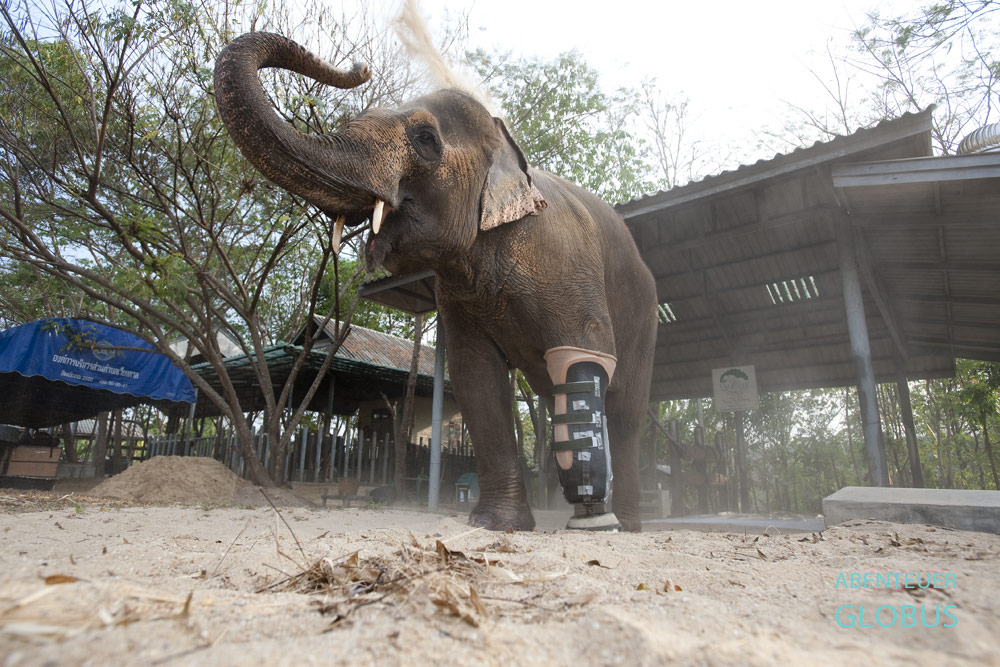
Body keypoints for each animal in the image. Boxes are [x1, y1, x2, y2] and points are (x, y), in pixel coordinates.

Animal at [214, 32, 657, 531]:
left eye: (425, 140)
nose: (360, 67)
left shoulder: (564, 265)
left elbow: (583, 357)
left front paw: (590, 521)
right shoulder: (456, 296)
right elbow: (475, 377)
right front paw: (495, 524)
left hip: (644, 319)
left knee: (624, 413)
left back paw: (623, 525)